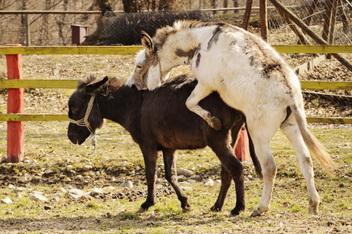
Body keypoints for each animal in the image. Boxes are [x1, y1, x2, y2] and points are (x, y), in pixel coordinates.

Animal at [127, 21, 336, 217]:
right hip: (290, 127)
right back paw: (313, 204)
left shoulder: (205, 84)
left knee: (269, 167)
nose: (132, 87)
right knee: (306, 160)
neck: (198, 43)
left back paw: (261, 207)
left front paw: (213, 121)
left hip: (259, 136)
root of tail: (289, 93)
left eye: (139, 66)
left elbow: (189, 102)